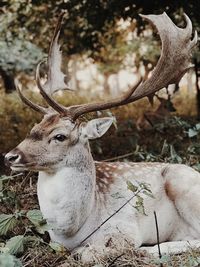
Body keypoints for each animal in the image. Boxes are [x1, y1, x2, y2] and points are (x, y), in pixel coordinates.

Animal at [3, 12, 199, 262]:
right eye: (34, 128)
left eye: (60, 136)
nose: (10, 156)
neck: (72, 230)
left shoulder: (126, 227)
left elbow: (90, 254)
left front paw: (93, 251)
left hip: (182, 184)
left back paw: (151, 250)